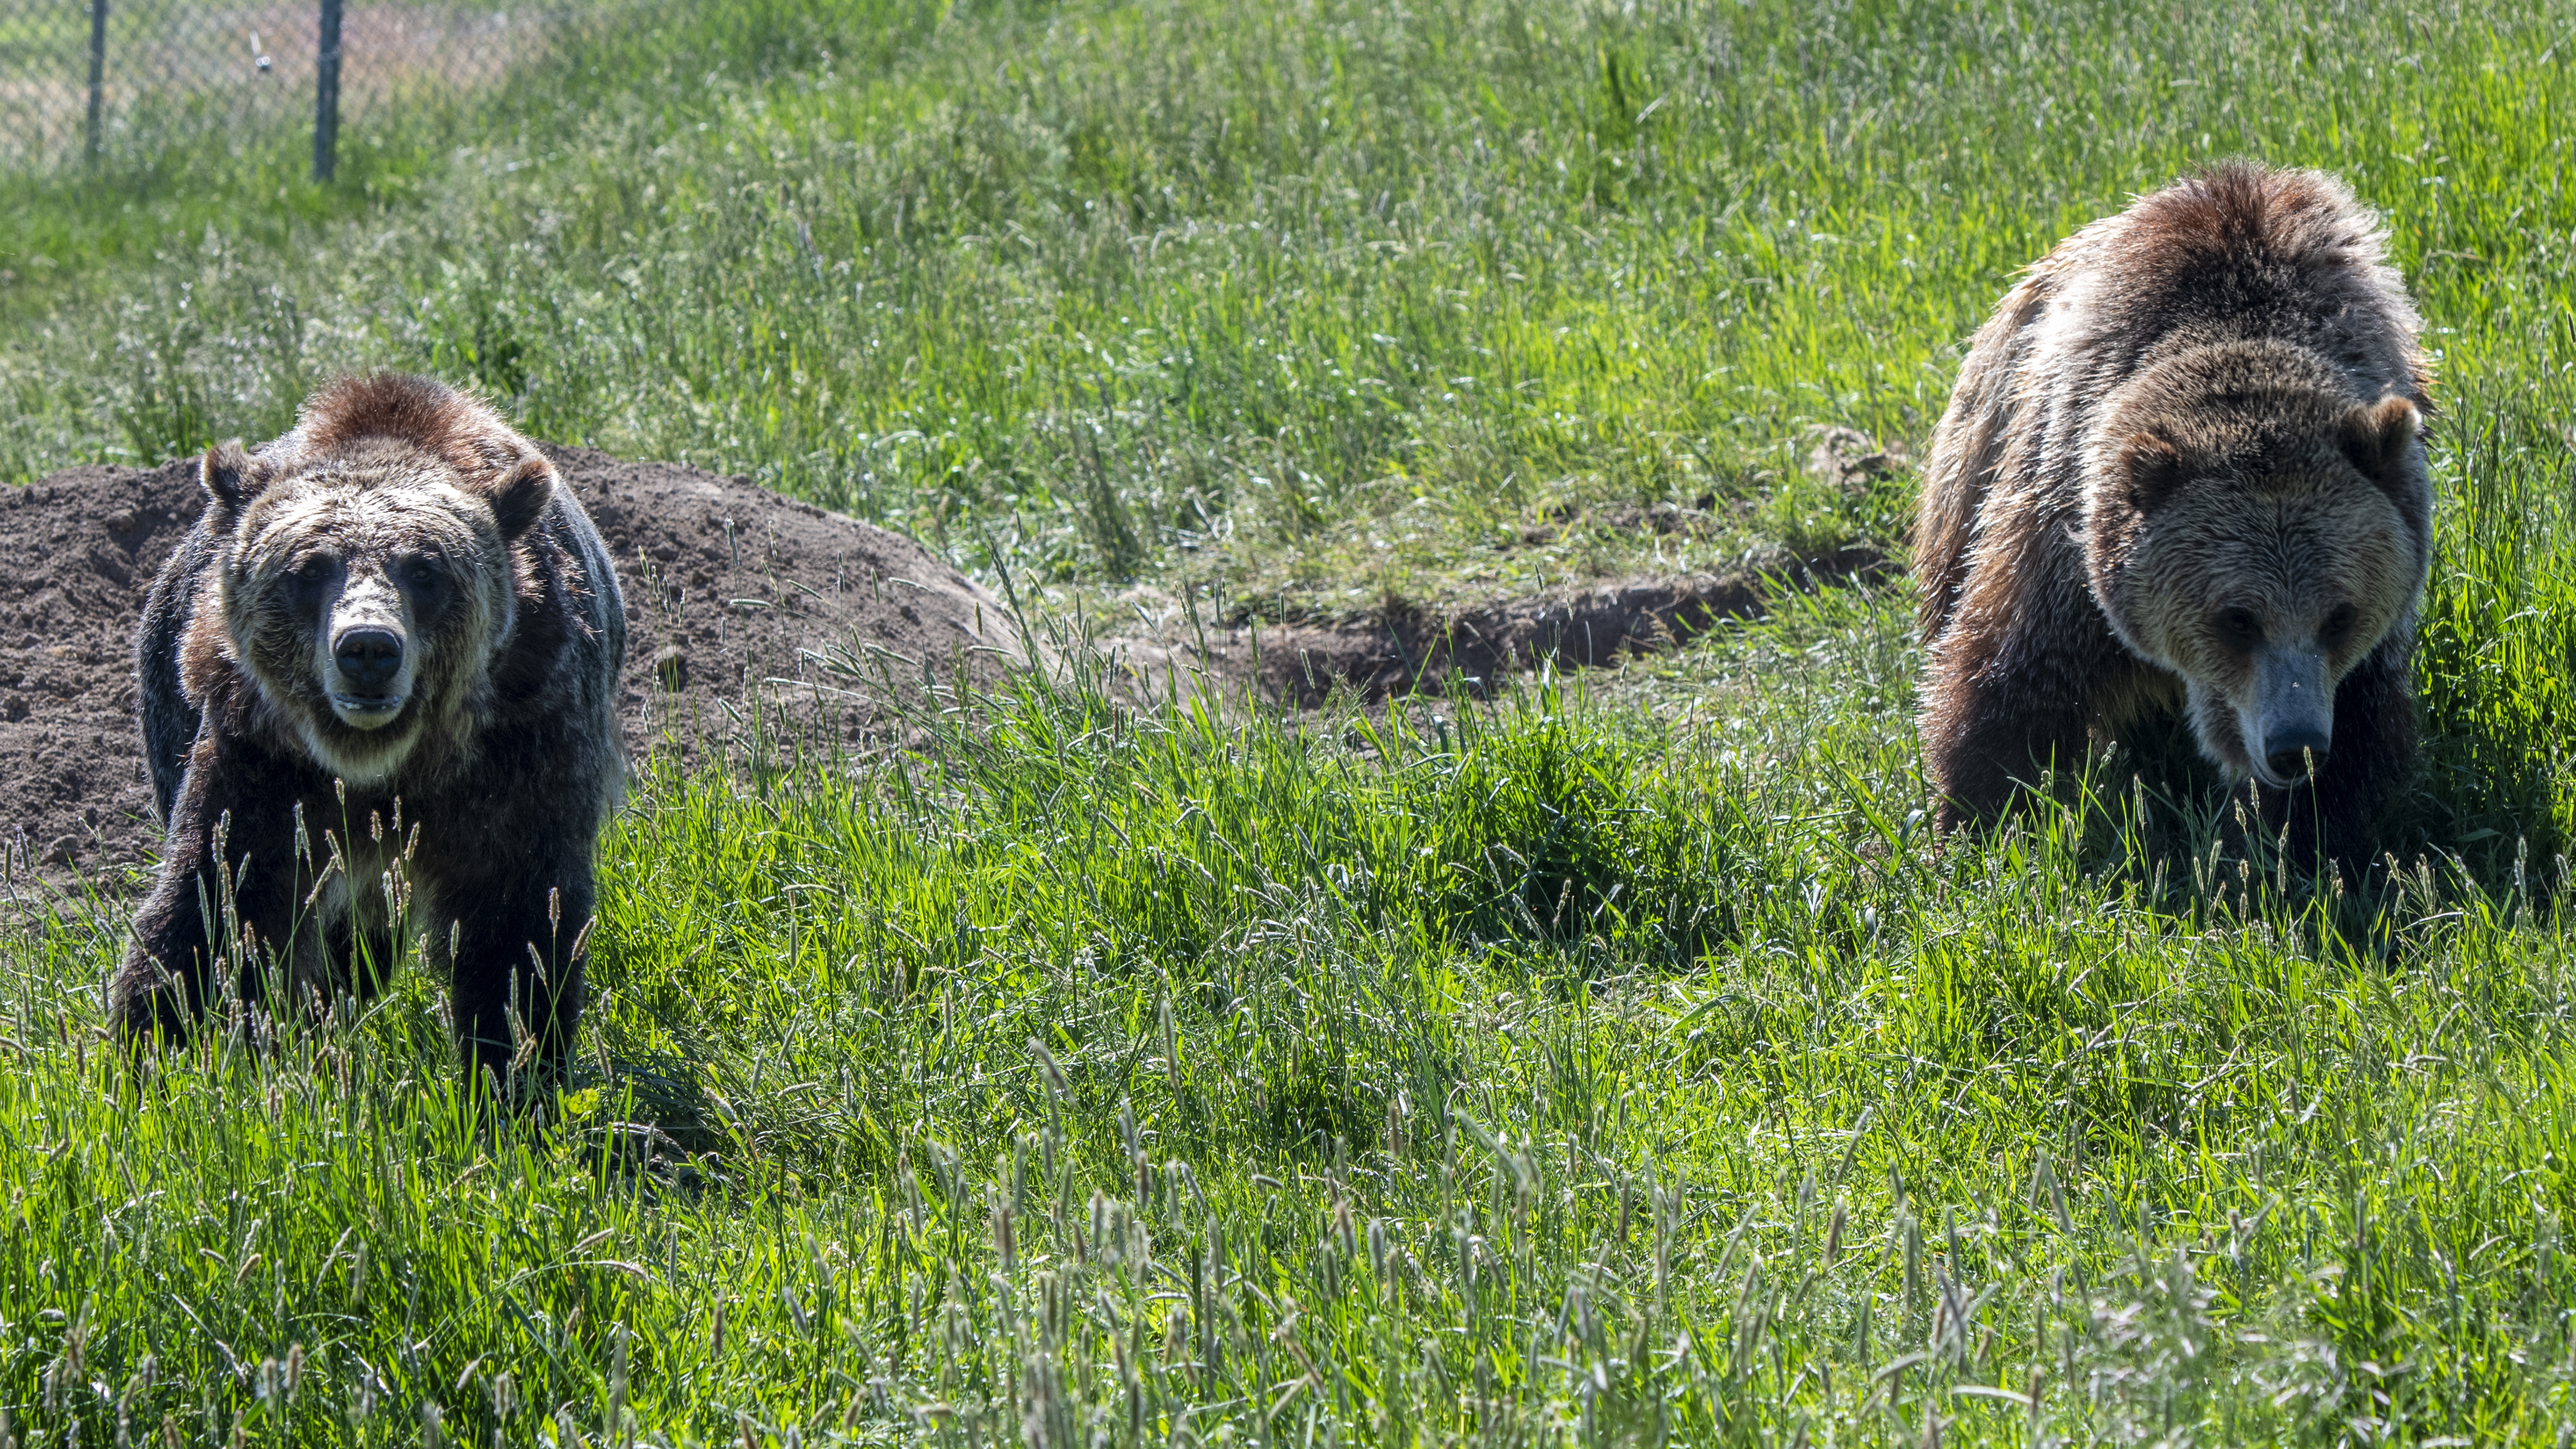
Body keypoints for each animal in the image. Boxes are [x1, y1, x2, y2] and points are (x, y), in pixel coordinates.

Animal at [111, 373, 628, 1098]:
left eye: (426, 569)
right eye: (309, 569)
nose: (367, 648)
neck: (385, 763)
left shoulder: (524, 745)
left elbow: (520, 925)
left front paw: (513, 1077)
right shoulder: (262, 757)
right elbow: (217, 902)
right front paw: (157, 1054)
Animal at [1913, 162, 2432, 874]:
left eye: (2340, 616)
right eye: (2237, 618)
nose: (2294, 746)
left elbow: (2357, 726)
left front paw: (2309, 849)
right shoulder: (2063, 533)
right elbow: (2010, 679)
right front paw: (1974, 828)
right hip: (1975, 457)